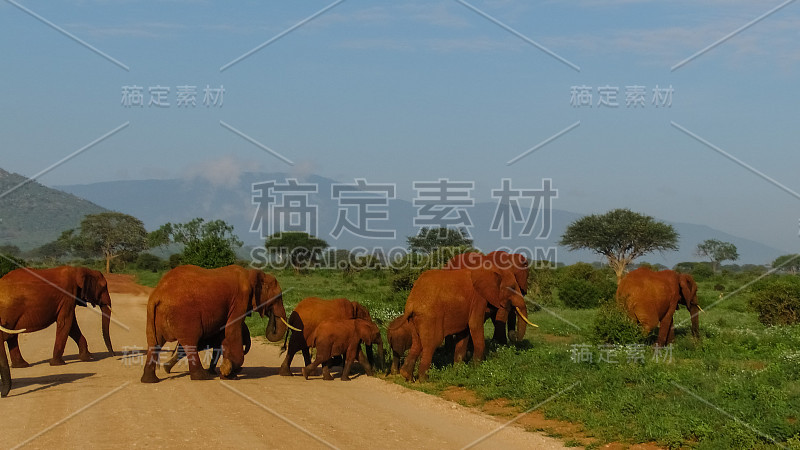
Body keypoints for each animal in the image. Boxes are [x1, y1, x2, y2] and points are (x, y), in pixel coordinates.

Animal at [0, 268, 114, 398]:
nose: (113, 355)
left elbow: (72, 326)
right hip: (9, 311)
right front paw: (58, 364)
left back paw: (22, 365)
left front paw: (87, 357)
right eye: (103, 287)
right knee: (10, 335)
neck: (79, 270)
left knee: (12, 336)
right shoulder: (67, 296)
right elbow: (66, 323)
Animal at [142, 264, 290, 384]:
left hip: (152, 316)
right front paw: (228, 372)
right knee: (190, 342)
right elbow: (232, 329)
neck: (251, 274)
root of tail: (158, 295)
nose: (271, 314)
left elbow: (224, 334)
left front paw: (229, 373)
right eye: (278, 298)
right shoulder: (240, 299)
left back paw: (150, 380)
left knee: (154, 343)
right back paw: (202, 377)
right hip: (184, 315)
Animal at [396, 268, 536, 382]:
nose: (515, 337)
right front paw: (476, 369)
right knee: (431, 344)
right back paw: (424, 380)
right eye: (512, 287)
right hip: (430, 317)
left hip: (414, 319)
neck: (490, 269)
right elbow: (474, 325)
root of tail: (411, 303)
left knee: (417, 342)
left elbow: (464, 333)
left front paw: (458, 370)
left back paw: (406, 376)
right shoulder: (479, 299)